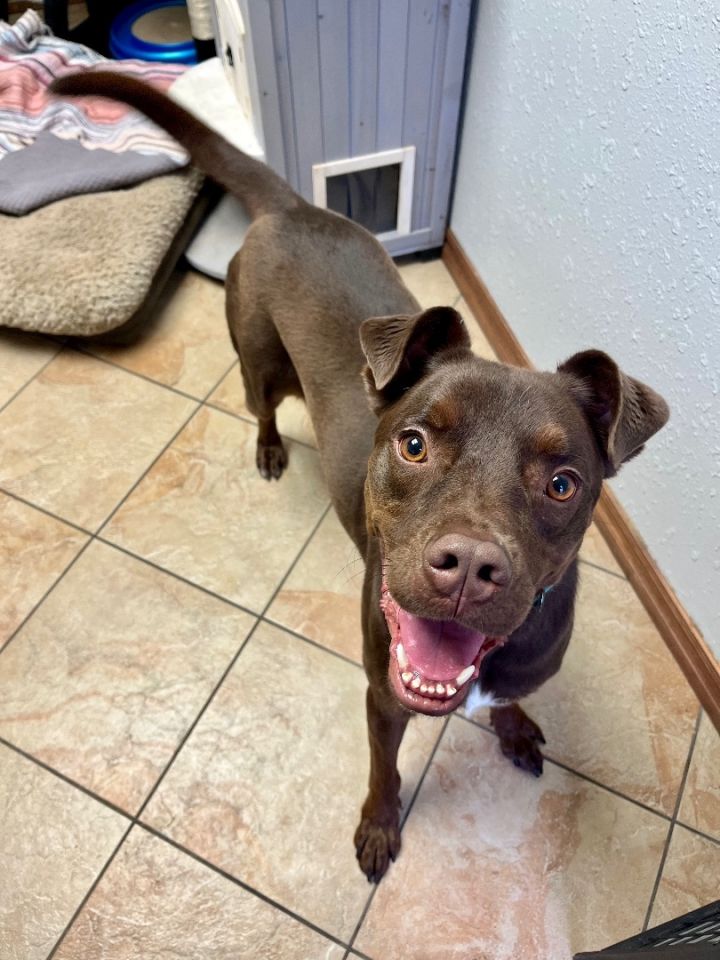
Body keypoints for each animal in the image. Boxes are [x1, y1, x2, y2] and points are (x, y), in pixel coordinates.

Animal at [53, 75, 672, 884]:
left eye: (563, 484)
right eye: (414, 444)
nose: (469, 568)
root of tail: (295, 205)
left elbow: (508, 704)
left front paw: (512, 729)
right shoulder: (382, 698)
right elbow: (384, 771)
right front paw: (379, 828)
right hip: (259, 362)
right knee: (261, 404)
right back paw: (270, 449)